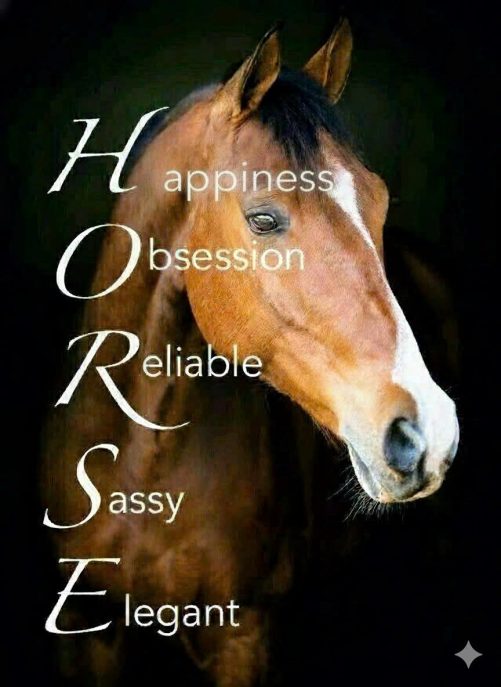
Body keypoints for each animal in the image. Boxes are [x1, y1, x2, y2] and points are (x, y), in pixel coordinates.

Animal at [42, 19, 459, 686]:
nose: (429, 431)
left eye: (378, 199)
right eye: (263, 219)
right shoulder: (86, 629)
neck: (141, 469)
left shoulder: (242, 635)